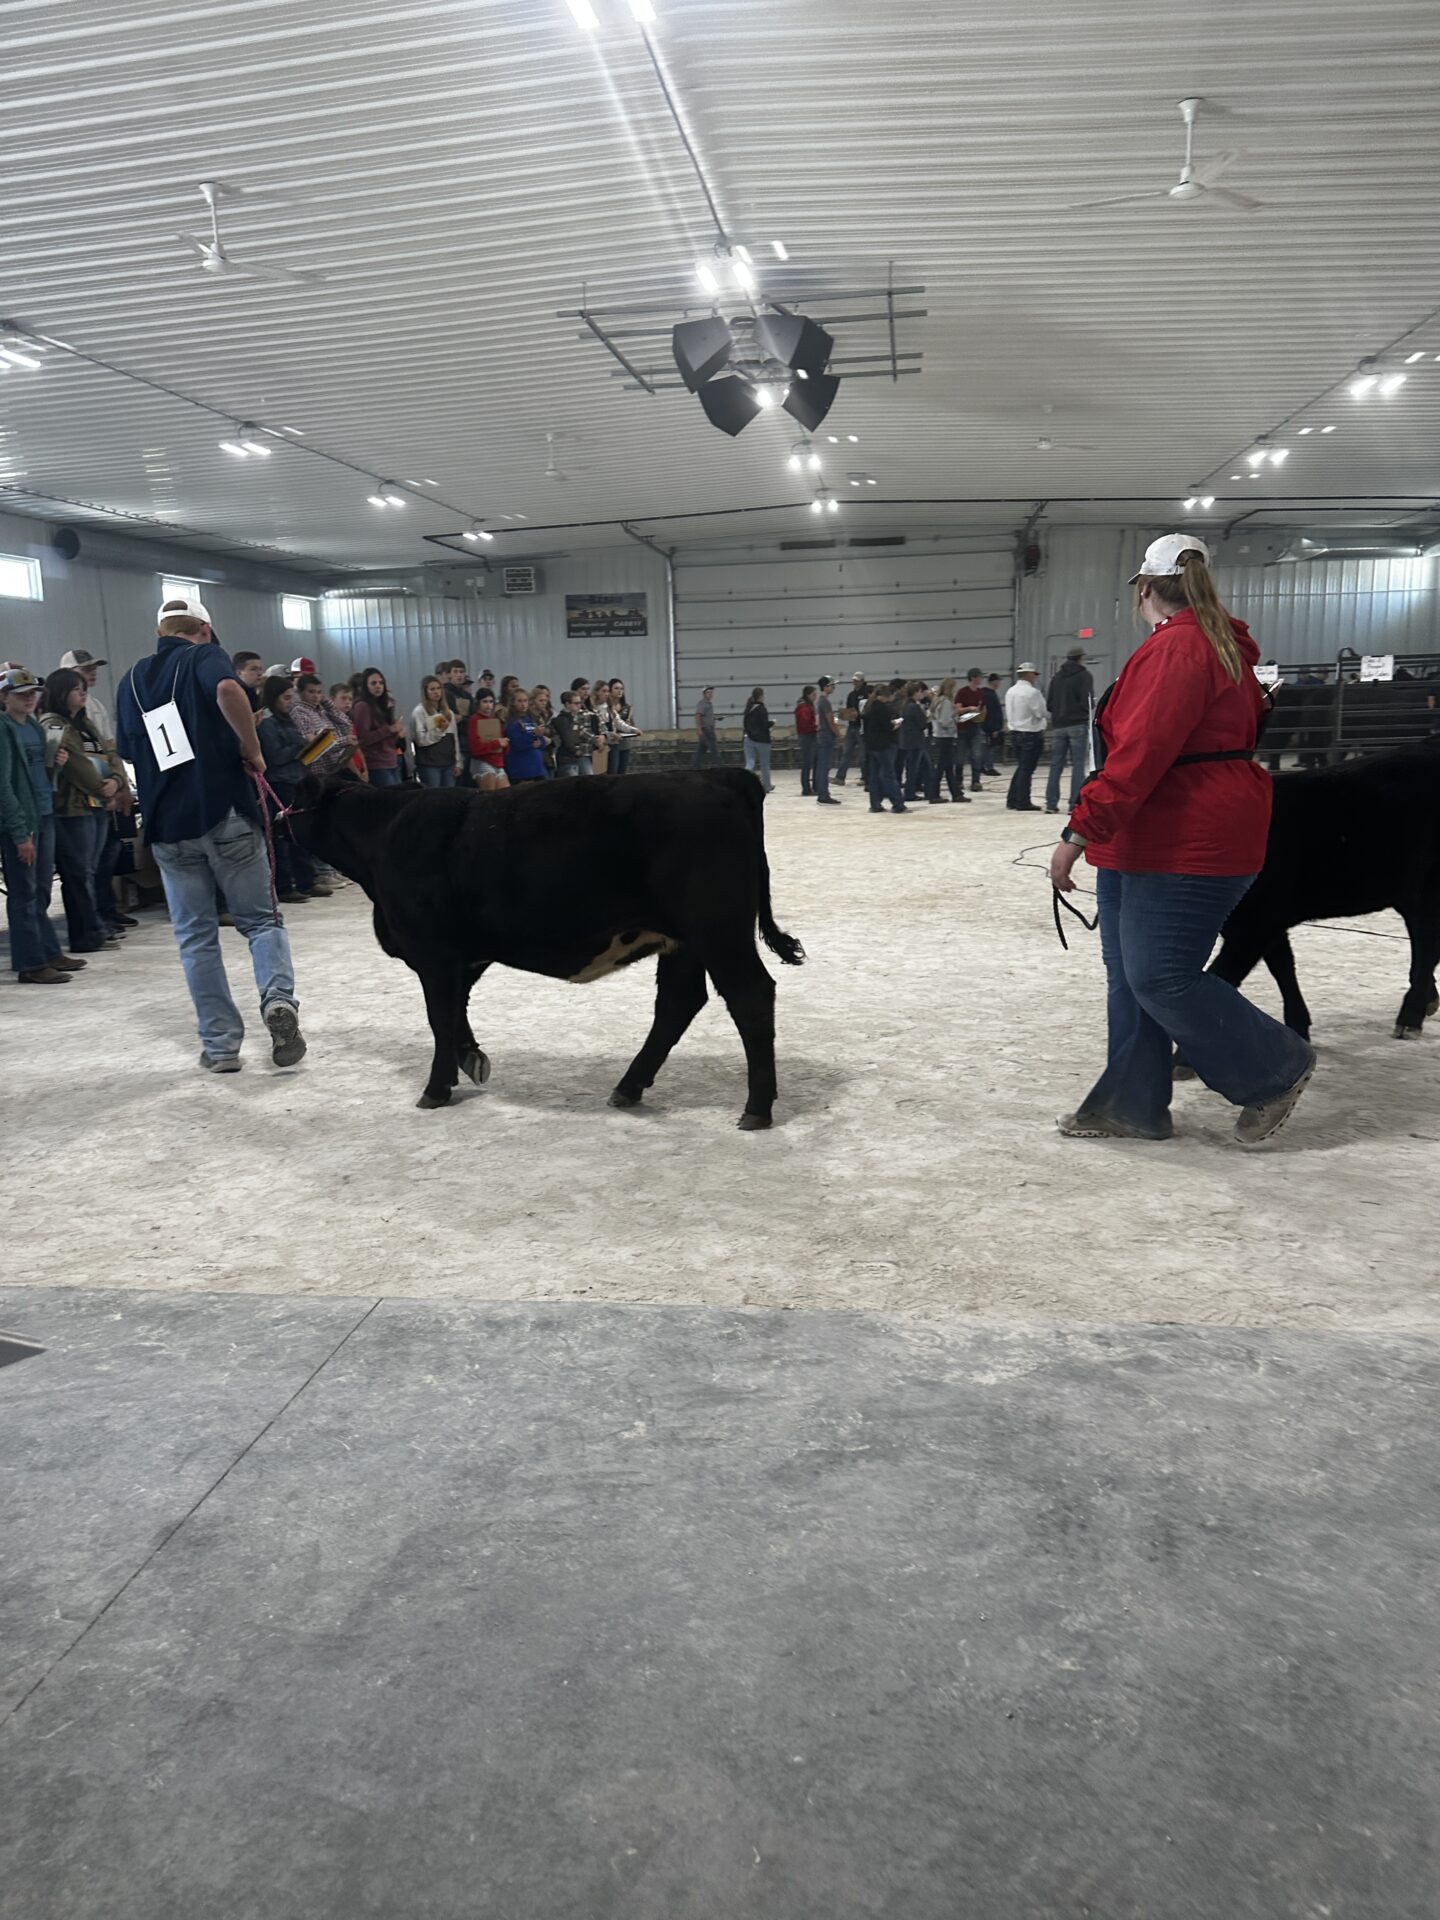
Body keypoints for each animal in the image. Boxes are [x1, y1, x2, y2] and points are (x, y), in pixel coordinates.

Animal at [289, 764, 814, 1121]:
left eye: (292, 801)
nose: (276, 814)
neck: (387, 833)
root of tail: (719, 775)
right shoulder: (464, 956)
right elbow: (455, 1013)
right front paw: (471, 1059)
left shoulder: (434, 953)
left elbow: (439, 1018)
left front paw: (437, 1087)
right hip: (683, 941)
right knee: (678, 1004)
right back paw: (629, 1086)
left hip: (718, 930)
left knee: (749, 996)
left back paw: (757, 1107)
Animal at [1221, 737, 1440, 1036]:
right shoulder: (1266, 922)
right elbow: (1283, 966)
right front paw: (1298, 1024)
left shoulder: (1255, 922)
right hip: (1408, 892)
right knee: (1424, 941)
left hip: (1428, 887)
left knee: (1428, 944)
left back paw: (1410, 1018)